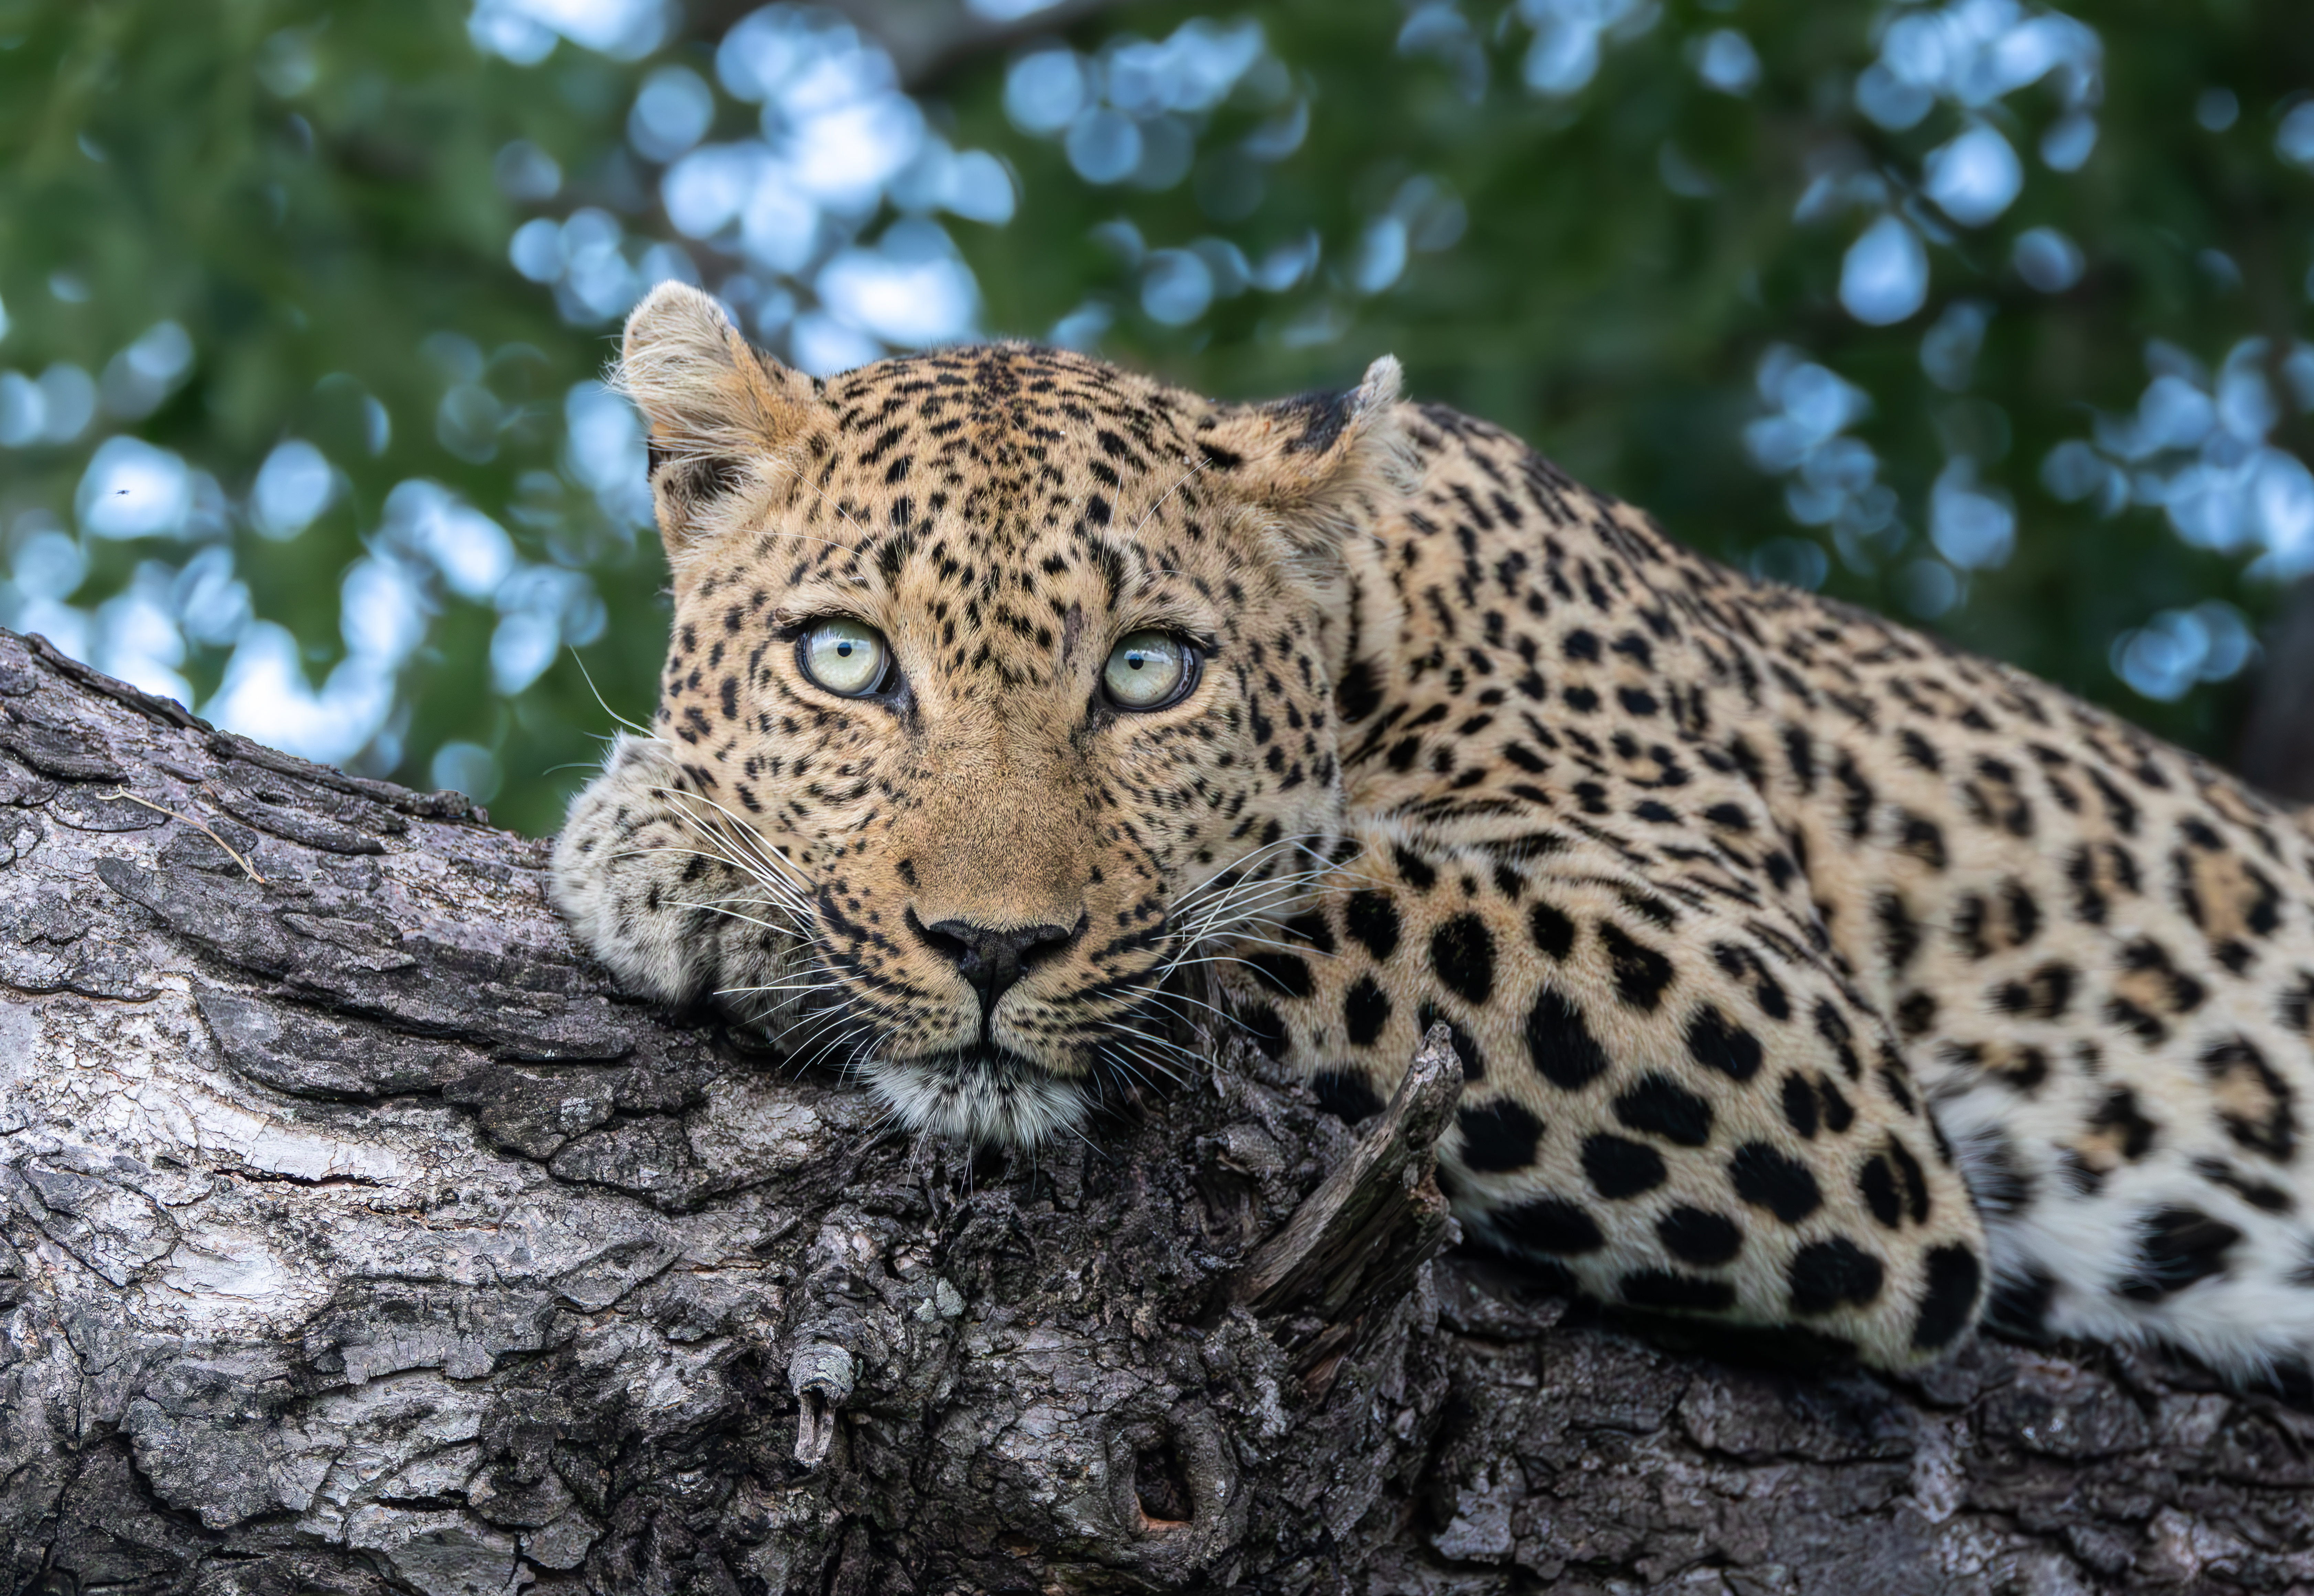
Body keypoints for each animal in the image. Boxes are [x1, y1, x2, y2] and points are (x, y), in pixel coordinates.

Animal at [551, 280, 2314, 1377]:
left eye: (1146, 670)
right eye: (846, 658)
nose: (991, 947)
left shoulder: (1793, 1026)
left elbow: (1320, 895)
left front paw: (676, 844)